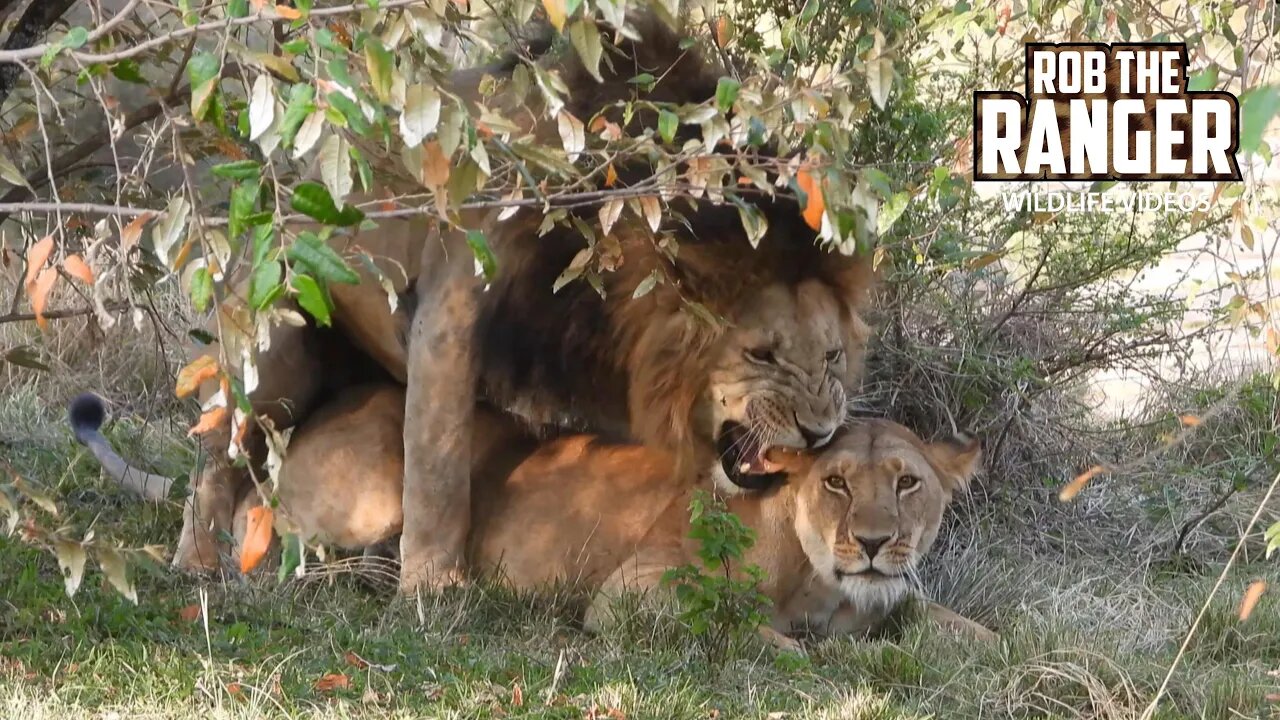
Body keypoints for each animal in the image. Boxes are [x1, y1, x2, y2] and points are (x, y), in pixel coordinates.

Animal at [74, 15, 875, 589]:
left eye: (833, 356)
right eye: (761, 355)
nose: (820, 433)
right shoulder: (452, 313)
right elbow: (437, 471)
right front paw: (434, 591)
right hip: (271, 353)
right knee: (215, 463)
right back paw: (200, 563)